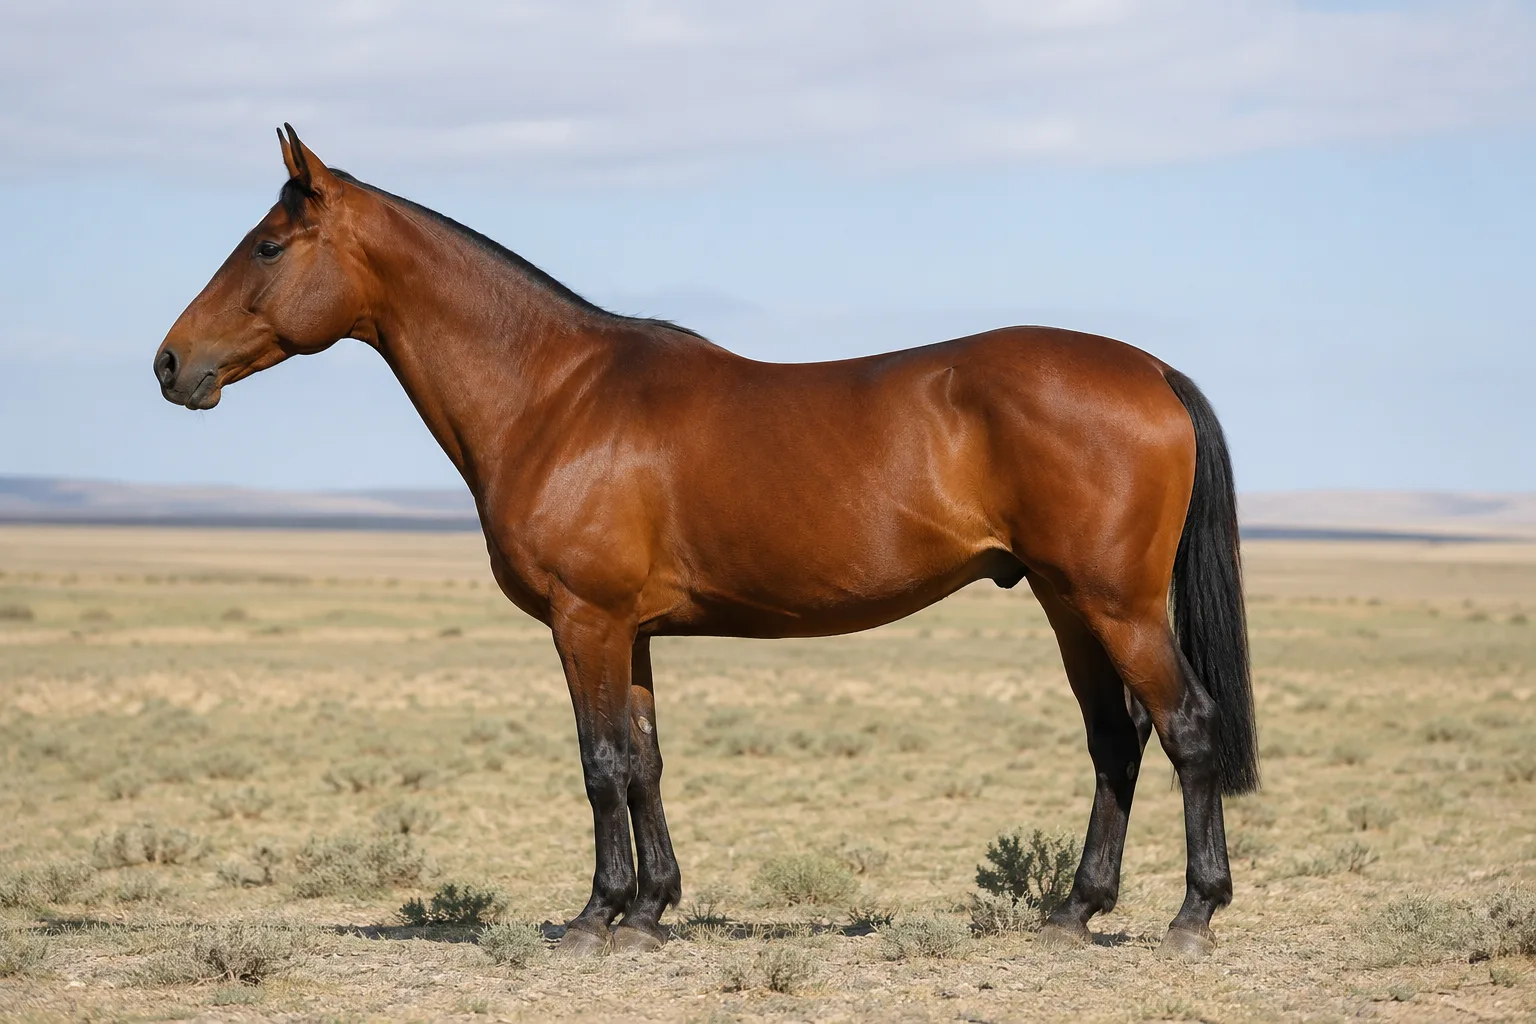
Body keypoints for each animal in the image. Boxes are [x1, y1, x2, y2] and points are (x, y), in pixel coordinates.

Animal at [154, 126, 1257, 959]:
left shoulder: (584, 621)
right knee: (1115, 737)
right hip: (1067, 600)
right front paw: (649, 910)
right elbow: (644, 760)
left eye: (265, 246)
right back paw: (1075, 909)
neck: (553, 395)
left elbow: (600, 761)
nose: (171, 364)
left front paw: (595, 918)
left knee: (1186, 725)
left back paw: (1192, 915)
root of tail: (1151, 370)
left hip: (1114, 604)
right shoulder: (630, 631)